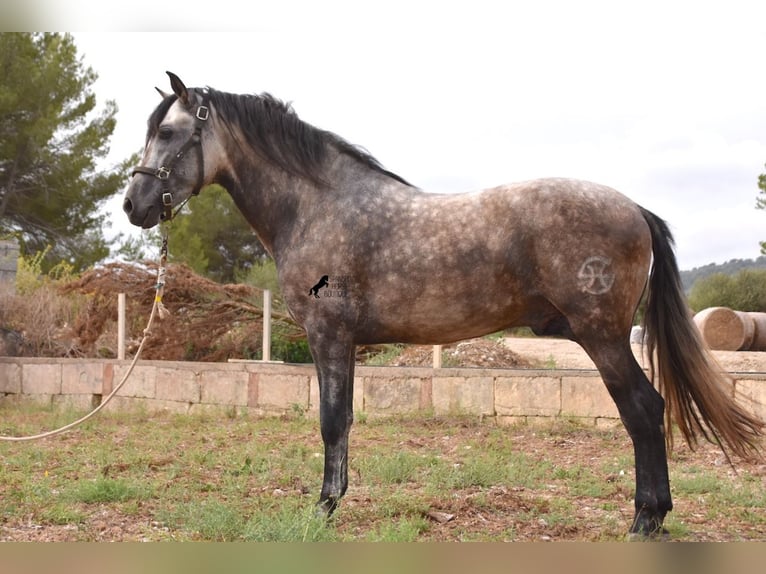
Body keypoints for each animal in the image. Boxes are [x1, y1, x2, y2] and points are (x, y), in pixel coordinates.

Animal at [123, 72, 764, 540]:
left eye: (172, 133)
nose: (134, 204)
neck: (317, 206)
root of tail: (634, 208)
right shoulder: (343, 343)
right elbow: (343, 420)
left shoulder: (327, 335)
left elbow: (331, 421)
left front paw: (323, 510)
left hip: (603, 337)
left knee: (643, 410)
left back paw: (644, 521)